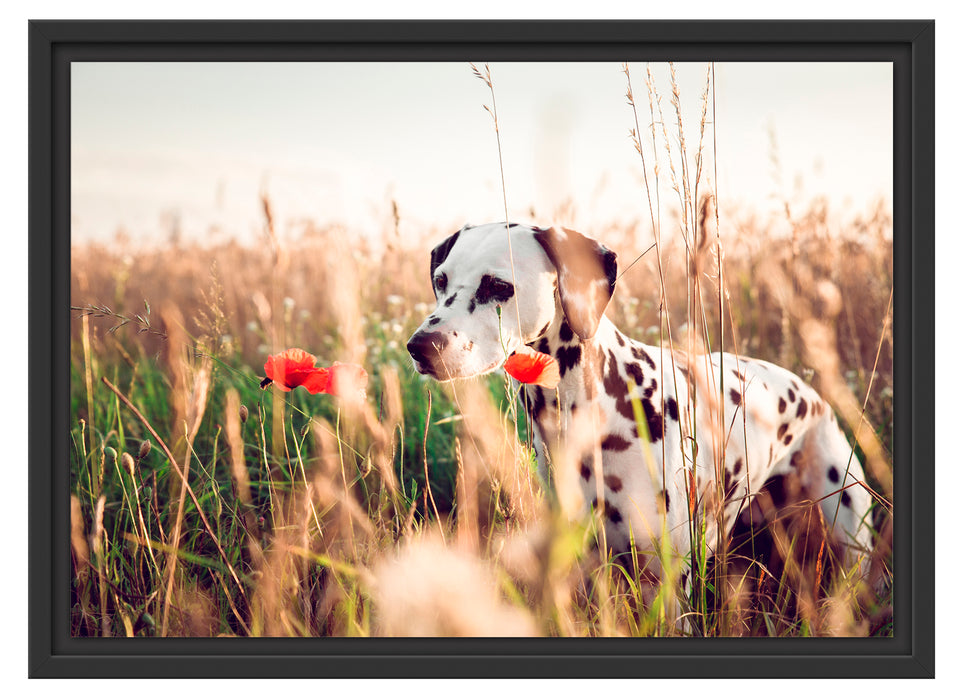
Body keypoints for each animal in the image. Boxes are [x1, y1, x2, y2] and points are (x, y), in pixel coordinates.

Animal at [406, 223, 876, 580]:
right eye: (441, 280)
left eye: (498, 286)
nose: (420, 346)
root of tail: (811, 392)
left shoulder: (664, 578)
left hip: (852, 535)